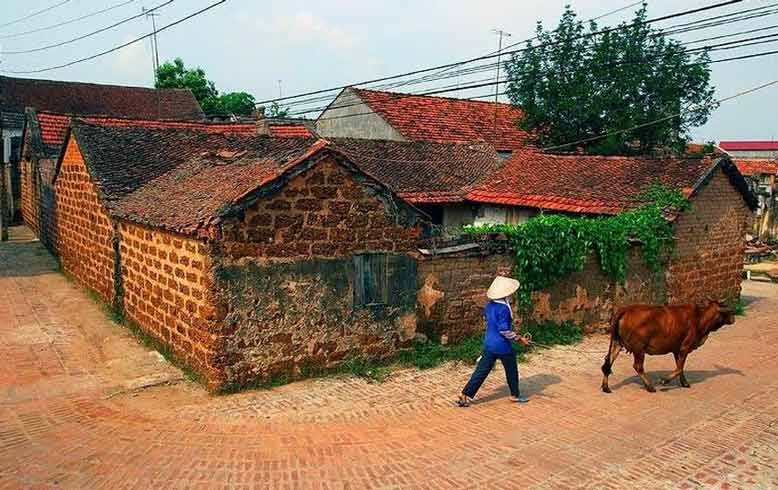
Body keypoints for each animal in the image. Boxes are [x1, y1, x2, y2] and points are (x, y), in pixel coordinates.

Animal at [600, 298, 732, 394]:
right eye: (728, 311)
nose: (733, 318)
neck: (700, 318)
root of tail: (625, 309)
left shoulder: (676, 349)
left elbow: (680, 367)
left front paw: (684, 383)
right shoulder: (685, 347)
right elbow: (679, 368)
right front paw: (664, 380)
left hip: (617, 343)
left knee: (607, 363)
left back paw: (606, 387)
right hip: (639, 349)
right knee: (638, 366)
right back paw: (650, 386)